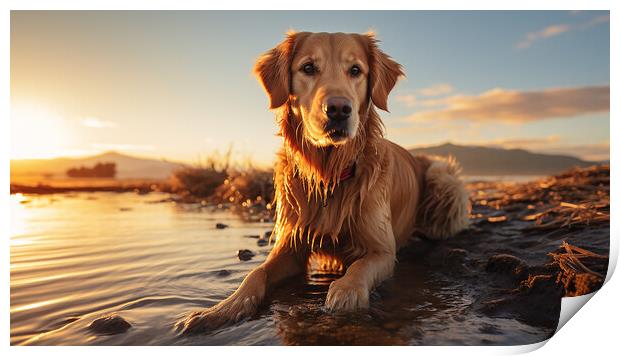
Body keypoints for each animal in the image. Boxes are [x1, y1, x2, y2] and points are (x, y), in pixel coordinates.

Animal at [179, 31, 470, 334]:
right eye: (308, 67)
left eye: (355, 70)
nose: (339, 109)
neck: (329, 174)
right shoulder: (290, 246)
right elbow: (255, 273)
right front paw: (222, 309)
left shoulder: (382, 250)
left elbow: (359, 268)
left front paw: (345, 294)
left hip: (443, 177)